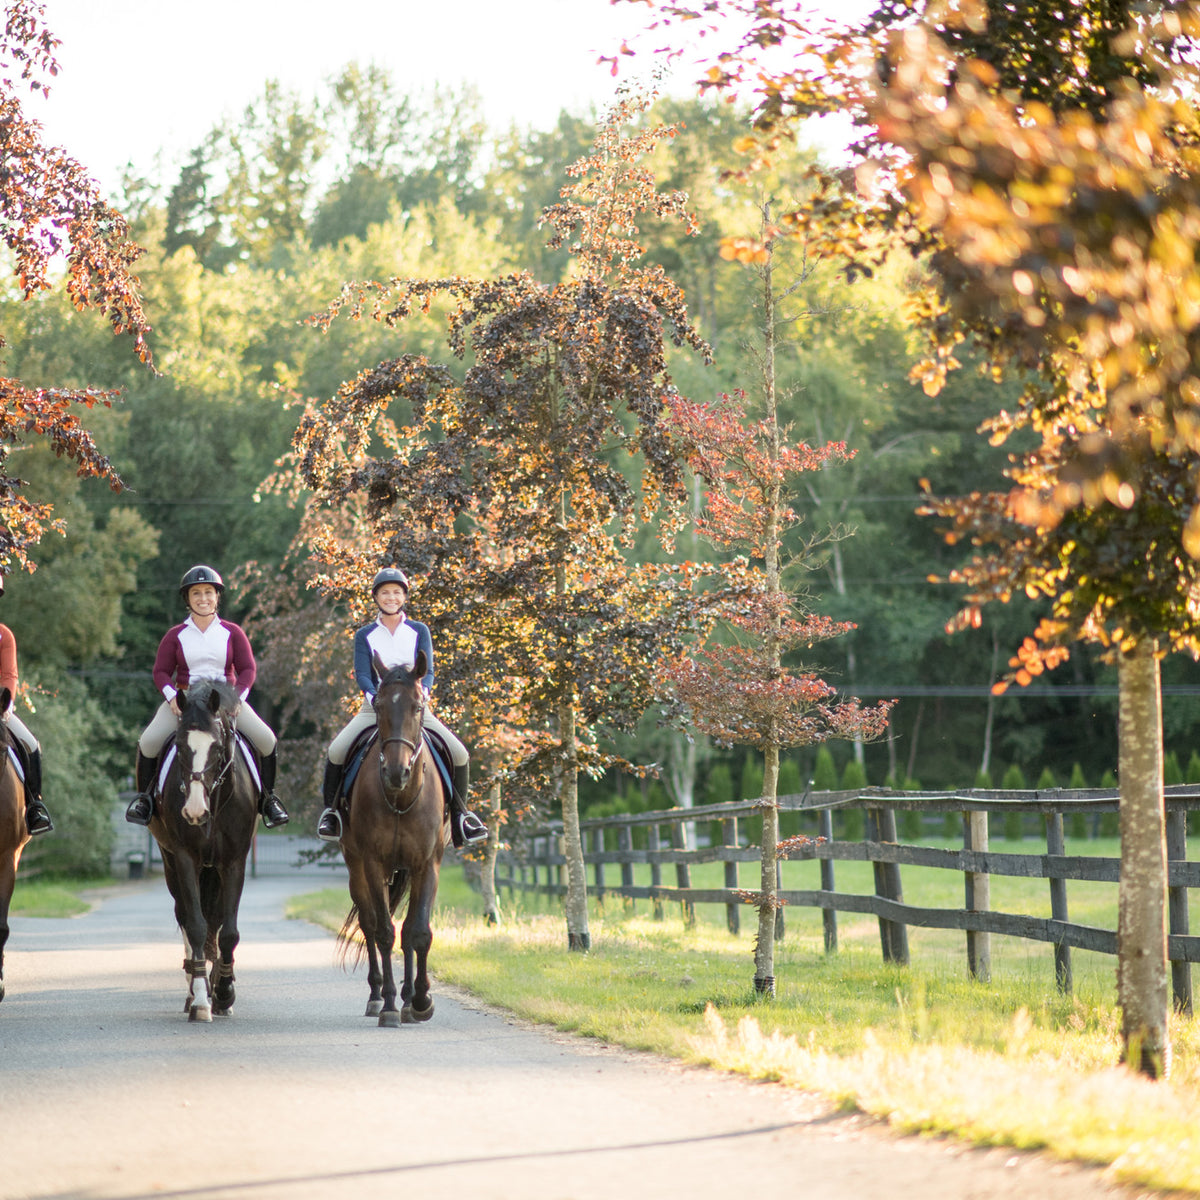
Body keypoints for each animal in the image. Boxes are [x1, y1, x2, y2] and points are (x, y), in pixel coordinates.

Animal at [148, 681, 256, 1017]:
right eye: (181, 747)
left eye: (218, 748)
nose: (195, 811)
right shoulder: (184, 858)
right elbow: (196, 924)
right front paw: (200, 998)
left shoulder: (234, 862)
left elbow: (228, 931)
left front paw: (224, 992)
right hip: (170, 862)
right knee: (185, 915)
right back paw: (194, 988)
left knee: (217, 921)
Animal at [338, 652, 446, 1027]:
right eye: (380, 705)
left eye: (417, 706)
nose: (396, 773)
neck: (401, 798)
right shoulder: (373, 863)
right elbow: (384, 931)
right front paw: (388, 1006)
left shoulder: (426, 865)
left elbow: (418, 932)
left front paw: (422, 1001)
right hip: (357, 867)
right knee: (369, 925)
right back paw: (376, 997)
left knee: (408, 929)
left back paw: (409, 998)